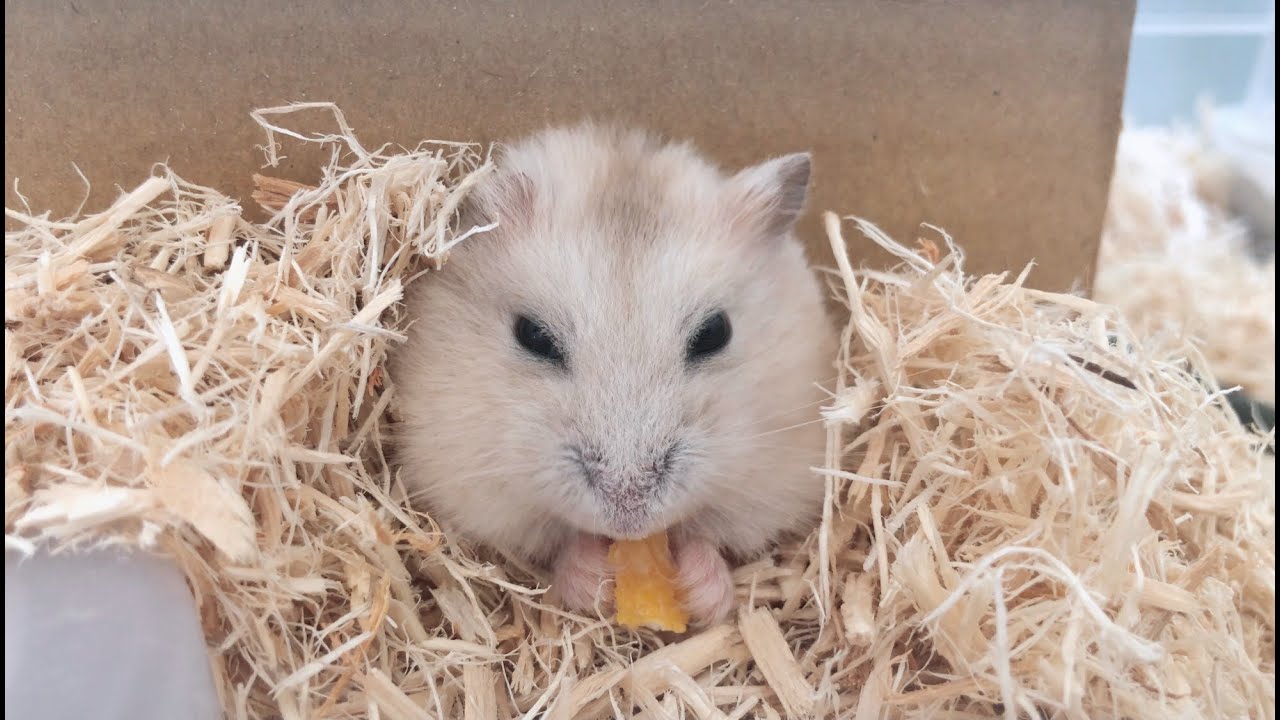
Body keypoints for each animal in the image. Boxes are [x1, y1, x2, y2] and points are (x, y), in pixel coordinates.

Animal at [389, 124, 837, 626]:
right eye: (533, 335)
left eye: (715, 332)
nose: (629, 515)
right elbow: (558, 549)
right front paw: (595, 579)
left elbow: (712, 539)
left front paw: (698, 588)